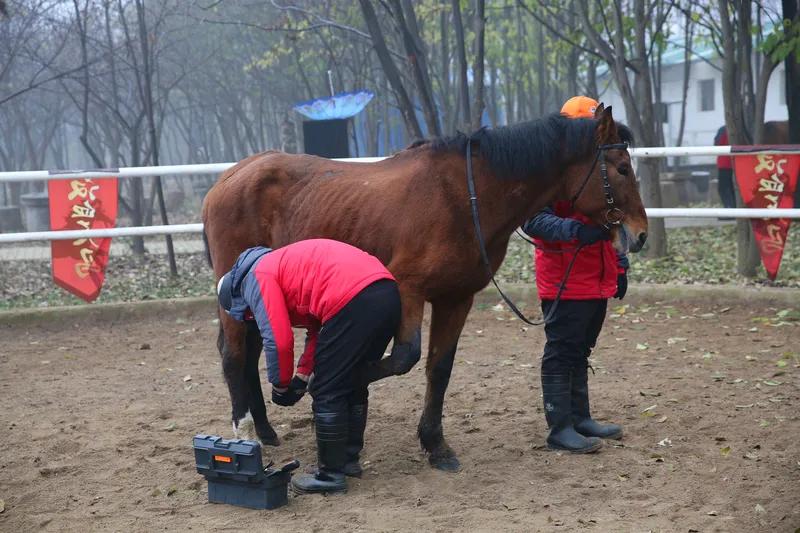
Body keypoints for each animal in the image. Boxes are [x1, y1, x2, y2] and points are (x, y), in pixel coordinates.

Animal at [203, 104, 648, 470]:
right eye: (622, 169)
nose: (639, 234)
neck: (464, 196)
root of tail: (228, 178)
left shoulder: (456, 299)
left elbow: (439, 368)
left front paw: (435, 444)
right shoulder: (408, 289)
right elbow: (404, 357)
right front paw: (320, 387)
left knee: (250, 354)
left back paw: (265, 430)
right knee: (234, 355)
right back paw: (246, 432)